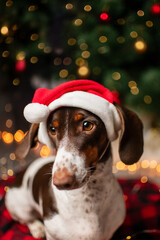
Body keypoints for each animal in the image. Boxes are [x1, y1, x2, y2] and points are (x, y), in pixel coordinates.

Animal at [5, 80, 143, 240]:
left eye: (87, 125)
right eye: (52, 129)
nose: (60, 181)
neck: (89, 199)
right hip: (19, 206)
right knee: (26, 219)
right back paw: (37, 228)